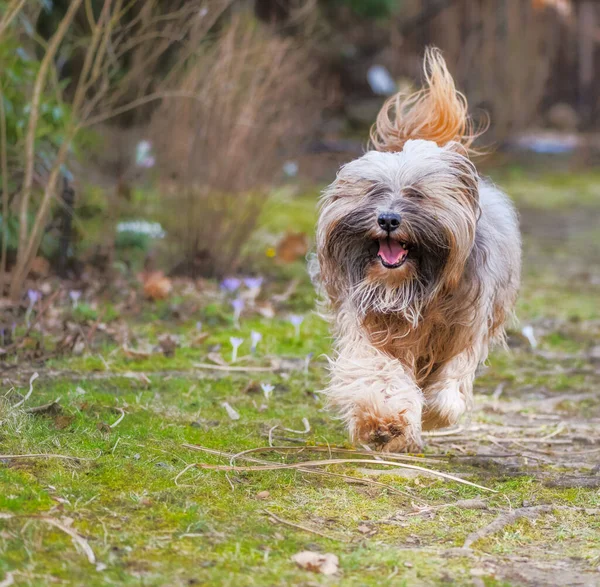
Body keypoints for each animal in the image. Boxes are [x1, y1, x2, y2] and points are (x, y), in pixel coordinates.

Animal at [314, 49, 520, 454]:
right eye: (373, 191)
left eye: (417, 195)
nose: (388, 219)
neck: (412, 287)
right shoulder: (369, 328)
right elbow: (377, 372)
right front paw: (384, 422)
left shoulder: (465, 328)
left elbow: (451, 381)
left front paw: (436, 411)